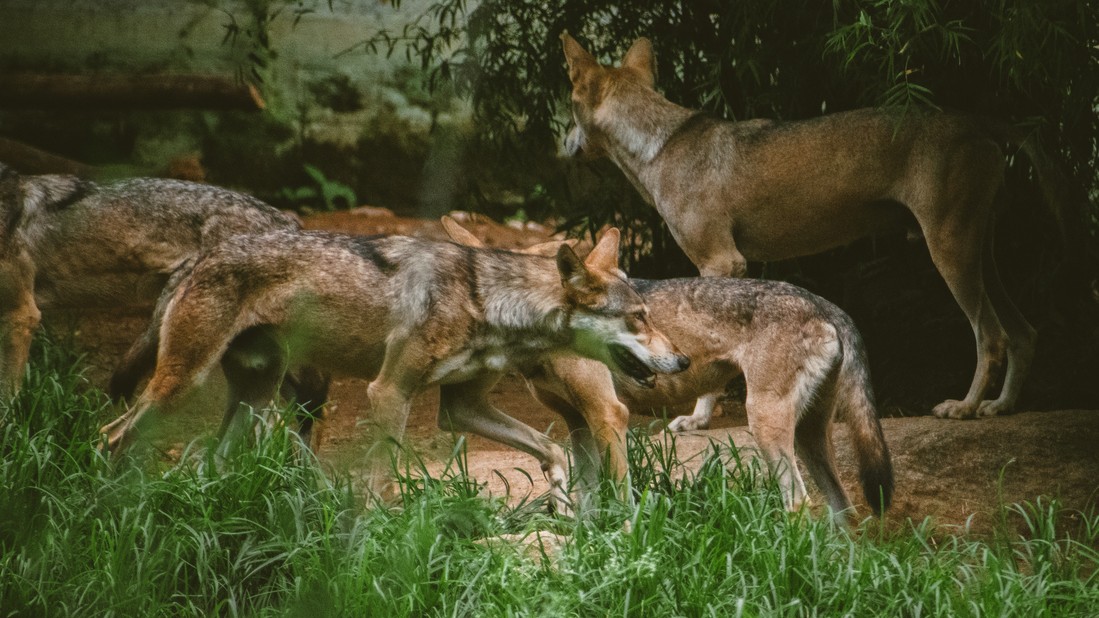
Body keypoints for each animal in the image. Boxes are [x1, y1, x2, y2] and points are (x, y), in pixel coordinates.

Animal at [99, 227, 690, 509]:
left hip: (254, 398)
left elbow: (551, 448)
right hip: (185, 384)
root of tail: (197, 258)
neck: (488, 298)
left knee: (208, 463)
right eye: (638, 317)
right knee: (112, 435)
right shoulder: (388, 392)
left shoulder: (461, 408)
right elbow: (381, 480)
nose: (682, 359)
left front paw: (563, 497)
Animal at [442, 216, 893, 522]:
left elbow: (619, 496)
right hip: (808, 437)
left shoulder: (608, 413)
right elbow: (586, 500)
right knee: (843, 511)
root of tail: (826, 304)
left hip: (766, 425)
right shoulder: (578, 422)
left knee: (799, 502)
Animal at [561, 33, 1070, 421]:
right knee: (1025, 333)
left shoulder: (720, 263)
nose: (562, 144)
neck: (660, 145)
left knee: (992, 336)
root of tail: (978, 120)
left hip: (949, 254)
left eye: (567, 107)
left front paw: (698, 418)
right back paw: (1000, 407)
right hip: (978, 256)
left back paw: (964, 408)